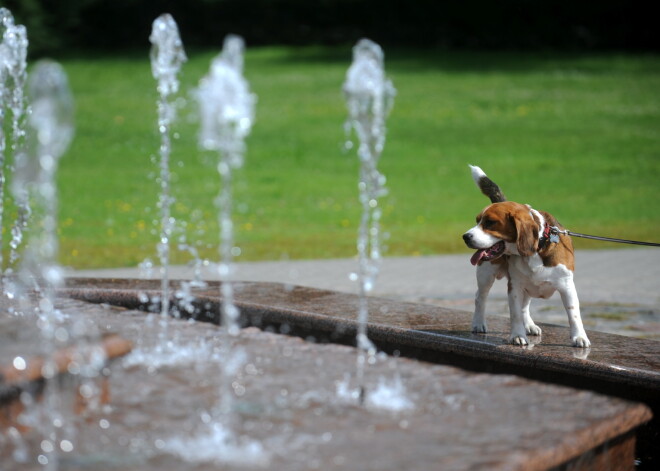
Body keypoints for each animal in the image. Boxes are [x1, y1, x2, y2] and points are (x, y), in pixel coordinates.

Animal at [462, 165, 592, 346]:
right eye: (477, 221)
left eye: (490, 222)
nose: (465, 237)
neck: (537, 249)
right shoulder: (515, 286)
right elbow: (515, 313)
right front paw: (517, 335)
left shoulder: (567, 286)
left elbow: (573, 314)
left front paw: (579, 337)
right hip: (486, 275)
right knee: (480, 298)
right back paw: (478, 323)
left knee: (524, 306)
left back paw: (529, 325)